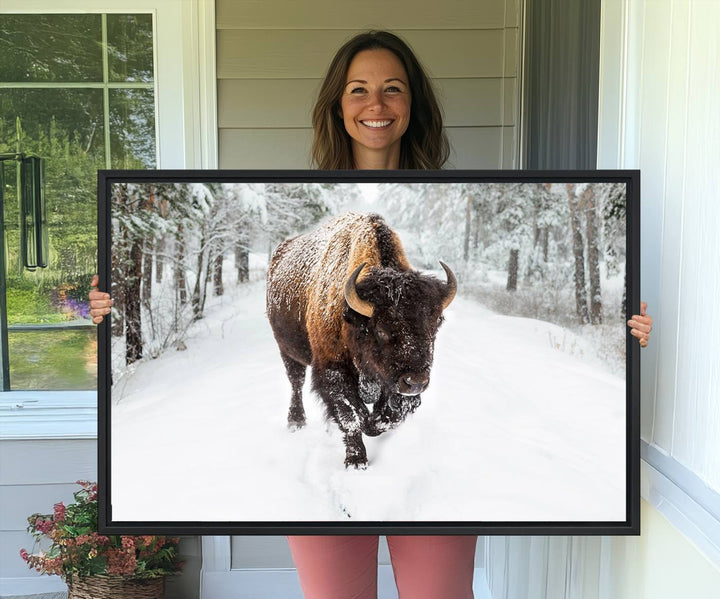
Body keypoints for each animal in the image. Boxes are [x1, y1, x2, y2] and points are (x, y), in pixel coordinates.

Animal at [264, 211, 456, 468]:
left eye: (435, 325)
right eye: (382, 330)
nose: (415, 382)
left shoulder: (391, 382)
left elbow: (389, 415)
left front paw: (374, 424)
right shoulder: (333, 370)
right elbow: (351, 416)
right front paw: (356, 461)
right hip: (287, 350)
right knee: (296, 382)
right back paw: (296, 421)